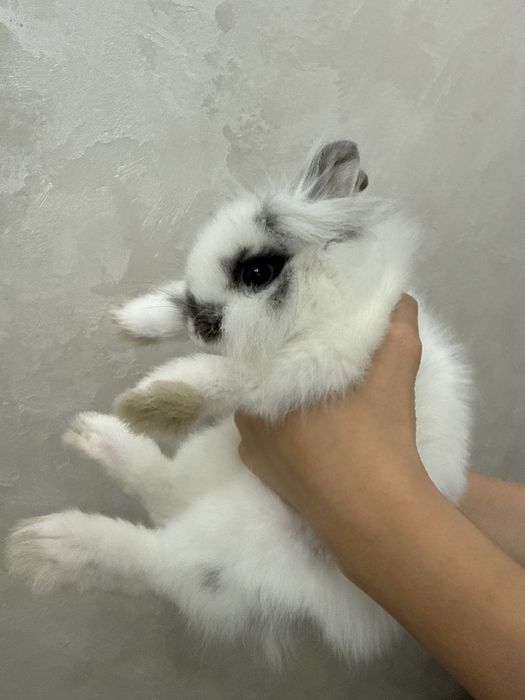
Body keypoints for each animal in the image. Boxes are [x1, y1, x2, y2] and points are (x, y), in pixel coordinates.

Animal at [7, 140, 471, 665]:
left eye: (257, 271)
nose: (201, 325)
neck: (326, 300)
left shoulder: (308, 365)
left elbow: (231, 377)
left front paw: (148, 398)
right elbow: (180, 317)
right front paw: (132, 320)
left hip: (241, 538)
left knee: (160, 562)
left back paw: (50, 543)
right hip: (209, 465)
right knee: (165, 494)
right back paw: (94, 436)